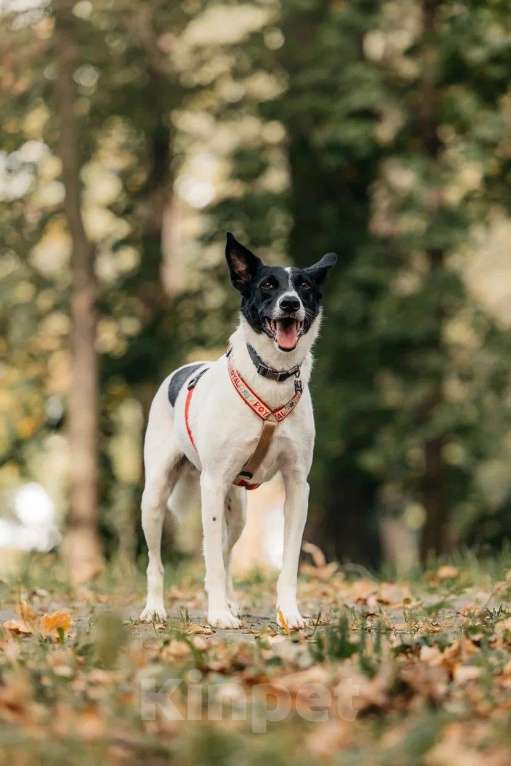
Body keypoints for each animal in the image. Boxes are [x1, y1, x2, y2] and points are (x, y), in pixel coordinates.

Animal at [140, 234, 338, 632]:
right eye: (268, 285)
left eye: (304, 287)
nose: (290, 303)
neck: (272, 377)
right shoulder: (213, 483)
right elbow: (211, 561)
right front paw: (217, 615)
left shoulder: (297, 486)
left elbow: (288, 565)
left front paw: (289, 613)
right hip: (154, 497)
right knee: (159, 561)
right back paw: (155, 609)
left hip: (240, 511)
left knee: (226, 553)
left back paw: (230, 601)